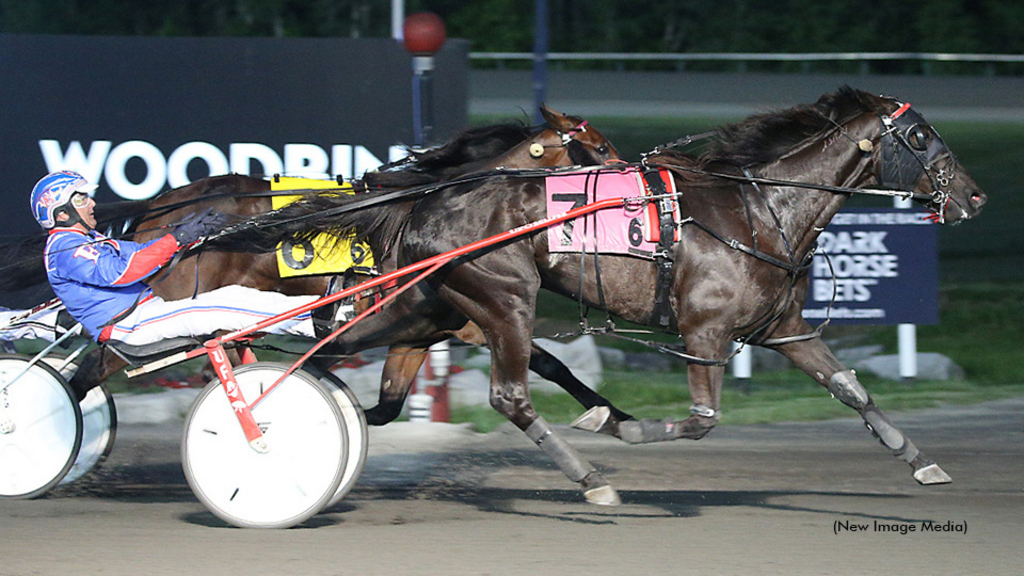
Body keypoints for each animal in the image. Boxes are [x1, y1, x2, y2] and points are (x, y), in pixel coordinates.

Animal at [251, 86, 987, 502]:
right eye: (920, 136)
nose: (975, 196)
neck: (759, 210)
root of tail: (433, 198)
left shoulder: (781, 328)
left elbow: (852, 389)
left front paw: (921, 462)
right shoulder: (705, 331)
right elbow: (702, 420)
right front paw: (628, 428)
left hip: (428, 303)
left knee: (341, 351)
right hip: (504, 299)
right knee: (510, 396)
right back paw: (592, 479)